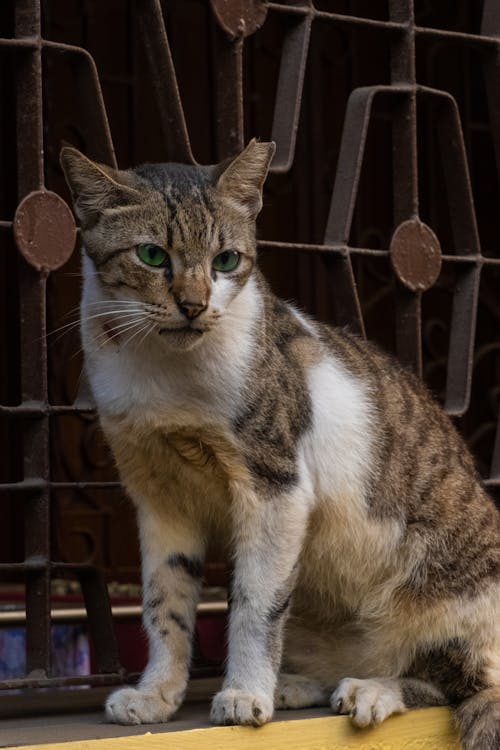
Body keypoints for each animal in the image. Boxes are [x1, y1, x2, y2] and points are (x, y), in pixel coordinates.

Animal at [61, 142, 500, 750]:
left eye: (226, 261)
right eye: (151, 255)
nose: (194, 304)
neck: (163, 377)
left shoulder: (275, 485)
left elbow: (253, 603)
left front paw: (244, 696)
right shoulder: (159, 498)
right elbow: (163, 605)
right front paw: (157, 697)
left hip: (450, 608)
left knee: (457, 683)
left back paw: (368, 690)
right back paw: (301, 684)